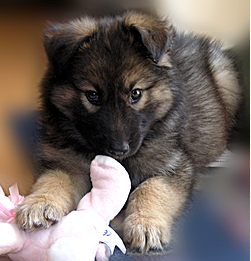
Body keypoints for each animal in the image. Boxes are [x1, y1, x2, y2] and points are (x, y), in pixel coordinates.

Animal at [15, 10, 241, 252]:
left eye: (136, 93)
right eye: (92, 95)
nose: (119, 150)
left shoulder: (172, 165)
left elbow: (151, 188)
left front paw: (146, 224)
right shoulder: (66, 161)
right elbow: (54, 179)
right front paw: (39, 203)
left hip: (225, 77)